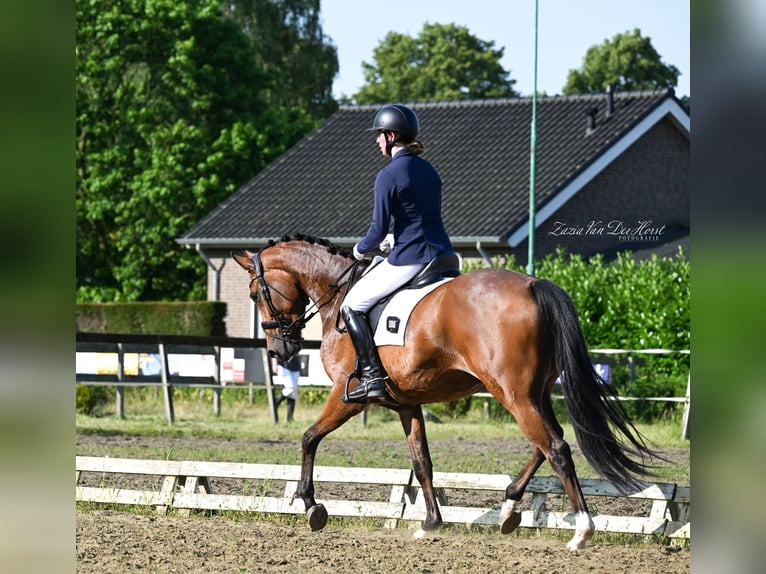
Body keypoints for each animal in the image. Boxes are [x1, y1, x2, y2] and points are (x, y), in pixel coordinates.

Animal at [231, 235, 664, 552]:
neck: (338, 298)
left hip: (514, 394)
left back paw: (581, 531)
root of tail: (533, 283)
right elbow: (422, 462)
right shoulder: (405, 405)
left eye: (255, 295)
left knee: (555, 447)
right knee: (547, 443)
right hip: (535, 393)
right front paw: (430, 524)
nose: (279, 351)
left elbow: (308, 438)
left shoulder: (346, 395)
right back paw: (509, 508)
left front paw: (311, 506)